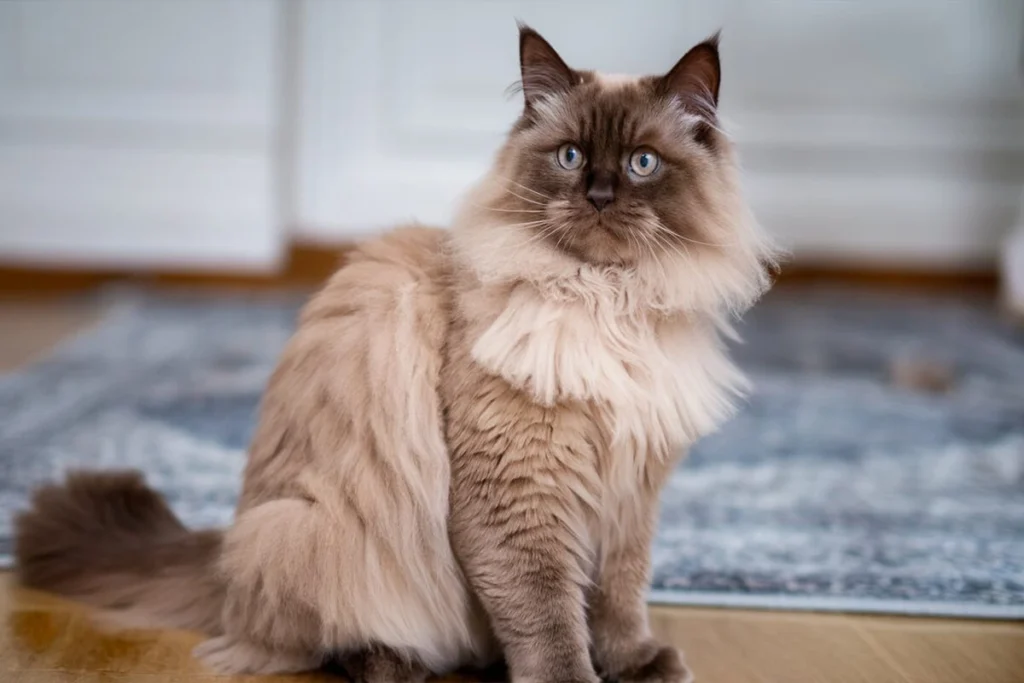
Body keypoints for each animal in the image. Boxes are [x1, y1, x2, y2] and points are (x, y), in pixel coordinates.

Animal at [12, 22, 774, 683]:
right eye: (571, 157)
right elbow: (548, 616)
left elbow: (617, 597)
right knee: (322, 639)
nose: (600, 195)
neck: (607, 303)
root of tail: (224, 549)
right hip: (306, 532)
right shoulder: (519, 491)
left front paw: (636, 663)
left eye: (643, 163)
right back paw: (399, 665)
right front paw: (574, 674)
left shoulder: (630, 493)